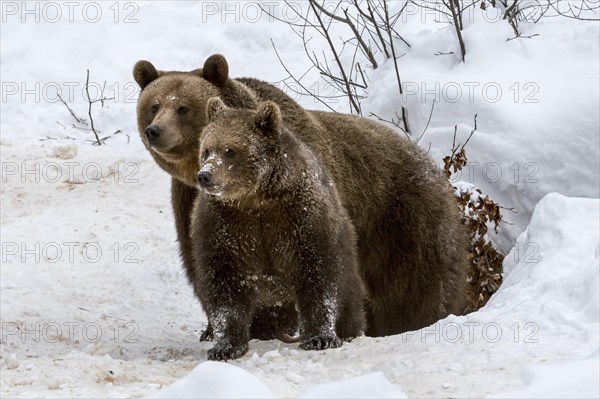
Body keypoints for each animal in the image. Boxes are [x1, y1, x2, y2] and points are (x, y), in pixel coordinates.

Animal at [192, 97, 366, 362]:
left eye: (230, 150)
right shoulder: (222, 226)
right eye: (207, 150)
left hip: (349, 266)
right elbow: (223, 285)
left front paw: (320, 337)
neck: (255, 200)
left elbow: (319, 274)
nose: (205, 175)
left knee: (350, 302)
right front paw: (226, 346)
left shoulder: (301, 218)